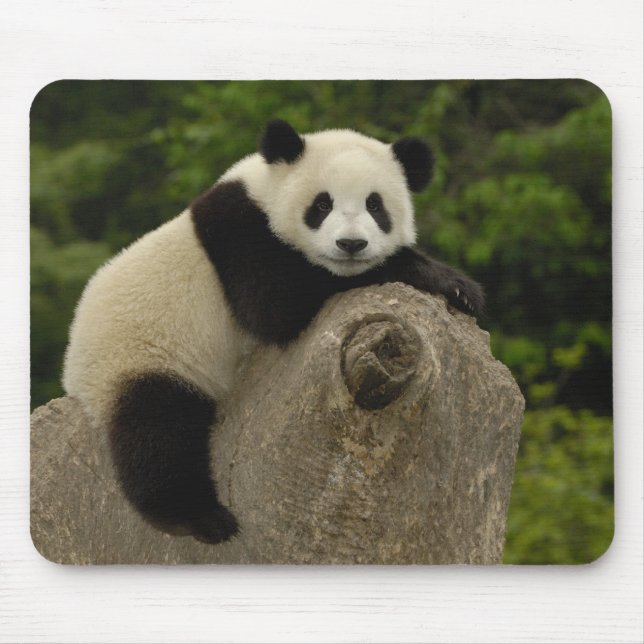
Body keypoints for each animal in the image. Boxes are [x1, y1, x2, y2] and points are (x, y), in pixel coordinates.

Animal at [63, 119, 484, 544]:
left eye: (375, 205)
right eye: (322, 205)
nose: (351, 244)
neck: (265, 190)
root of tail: (73, 375)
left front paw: (461, 291)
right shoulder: (239, 233)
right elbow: (276, 302)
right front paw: (447, 279)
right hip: (141, 356)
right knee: (157, 430)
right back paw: (200, 518)